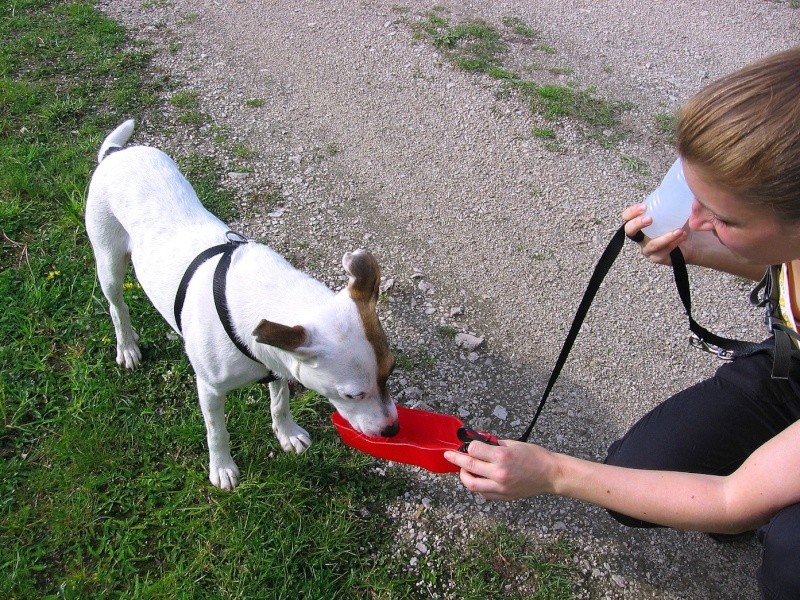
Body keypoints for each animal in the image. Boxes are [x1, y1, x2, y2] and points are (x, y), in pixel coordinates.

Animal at [86, 119, 398, 490]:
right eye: (352, 395)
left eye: (391, 371)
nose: (393, 429)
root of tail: (116, 153)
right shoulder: (209, 389)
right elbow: (216, 432)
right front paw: (221, 467)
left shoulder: (277, 360)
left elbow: (279, 402)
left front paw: (286, 433)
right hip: (108, 262)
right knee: (117, 307)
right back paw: (127, 346)